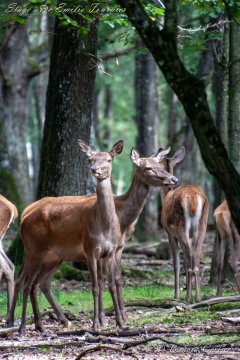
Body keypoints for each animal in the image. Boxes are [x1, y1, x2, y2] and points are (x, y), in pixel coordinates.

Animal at [6, 142, 177, 334]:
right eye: (148, 168)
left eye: (160, 165)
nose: (174, 180)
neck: (124, 219)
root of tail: (24, 214)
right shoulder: (97, 251)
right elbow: (101, 283)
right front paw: (103, 320)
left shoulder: (117, 248)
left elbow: (114, 280)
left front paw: (118, 319)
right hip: (33, 250)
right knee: (23, 280)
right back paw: (14, 323)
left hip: (54, 257)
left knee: (41, 283)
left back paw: (50, 323)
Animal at [160, 146, 209, 300]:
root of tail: (193, 198)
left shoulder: (170, 233)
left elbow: (176, 263)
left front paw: (176, 294)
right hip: (202, 225)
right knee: (195, 260)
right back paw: (197, 297)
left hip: (181, 225)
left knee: (188, 260)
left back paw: (188, 298)